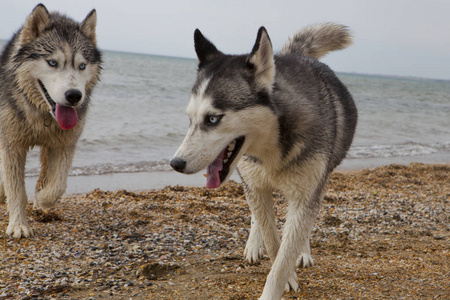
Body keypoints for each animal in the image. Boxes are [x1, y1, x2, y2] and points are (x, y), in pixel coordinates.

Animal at [0, 3, 101, 238]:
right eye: (52, 63)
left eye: (82, 66)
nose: (74, 96)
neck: (43, 114)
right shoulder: (11, 145)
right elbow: (15, 188)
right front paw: (18, 225)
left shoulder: (66, 143)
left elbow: (57, 185)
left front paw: (41, 199)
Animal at [171, 24, 356, 300]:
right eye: (190, 119)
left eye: (213, 119)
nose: (176, 163)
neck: (273, 144)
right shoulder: (255, 185)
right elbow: (272, 241)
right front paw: (284, 270)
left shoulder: (306, 193)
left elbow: (287, 249)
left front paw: (283, 274)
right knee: (257, 215)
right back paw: (253, 245)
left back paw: (303, 251)